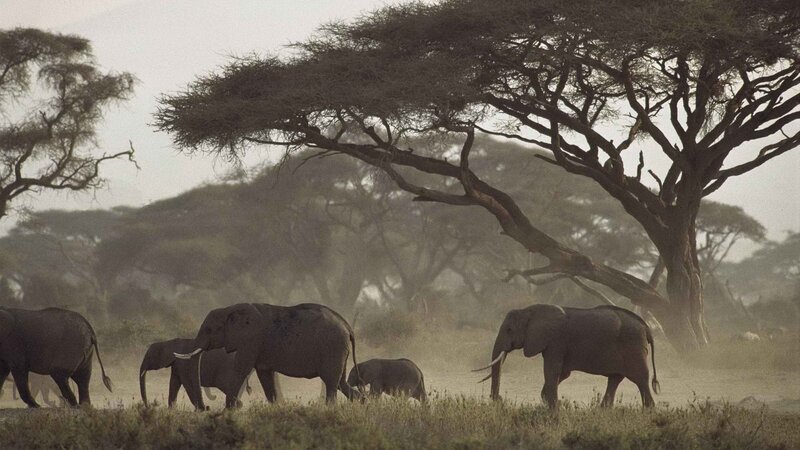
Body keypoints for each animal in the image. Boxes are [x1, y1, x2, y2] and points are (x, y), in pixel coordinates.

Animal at [175, 302, 361, 406]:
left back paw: (329, 409)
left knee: (331, 382)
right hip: (338, 349)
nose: (205, 408)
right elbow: (265, 374)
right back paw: (363, 403)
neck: (229, 309)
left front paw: (228, 410)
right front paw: (276, 408)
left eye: (209, 330)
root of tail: (347, 326)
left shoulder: (251, 340)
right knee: (340, 382)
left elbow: (240, 370)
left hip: (333, 347)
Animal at [474, 304, 659, 408]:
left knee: (640, 379)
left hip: (633, 347)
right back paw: (602, 411)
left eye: (509, 330)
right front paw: (551, 403)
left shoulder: (556, 340)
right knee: (614, 379)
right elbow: (562, 373)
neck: (528, 310)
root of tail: (646, 327)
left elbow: (552, 371)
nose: (498, 400)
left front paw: (553, 408)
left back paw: (648, 411)